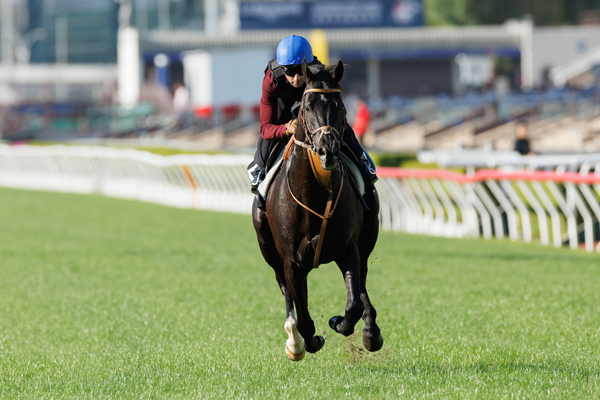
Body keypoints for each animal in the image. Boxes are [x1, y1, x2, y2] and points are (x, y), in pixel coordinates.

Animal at [250, 60, 382, 362]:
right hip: (268, 249)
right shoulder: (290, 260)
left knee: (362, 284)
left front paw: (340, 323)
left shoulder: (348, 248)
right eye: (307, 107)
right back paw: (294, 340)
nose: (328, 150)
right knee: (286, 291)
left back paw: (371, 331)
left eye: (341, 105)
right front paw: (306, 341)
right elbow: (304, 317)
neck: (314, 197)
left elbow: (354, 303)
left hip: (368, 238)